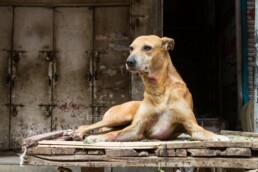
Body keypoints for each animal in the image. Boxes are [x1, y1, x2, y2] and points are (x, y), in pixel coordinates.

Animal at [75, 35, 230, 142]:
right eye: (131, 48)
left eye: (147, 47)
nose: (129, 61)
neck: (159, 89)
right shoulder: (136, 128)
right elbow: (114, 133)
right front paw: (97, 138)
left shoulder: (191, 125)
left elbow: (205, 131)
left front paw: (217, 136)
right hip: (119, 117)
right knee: (89, 127)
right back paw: (77, 133)